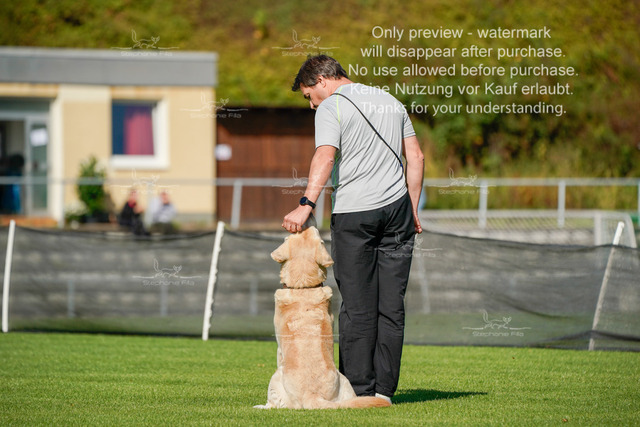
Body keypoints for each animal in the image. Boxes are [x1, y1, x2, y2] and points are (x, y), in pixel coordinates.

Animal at [254, 226, 391, 409]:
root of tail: (313, 394)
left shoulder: (279, 349)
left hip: (276, 376)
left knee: (275, 403)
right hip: (345, 383)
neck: (303, 287)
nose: (308, 225)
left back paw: (262, 407)